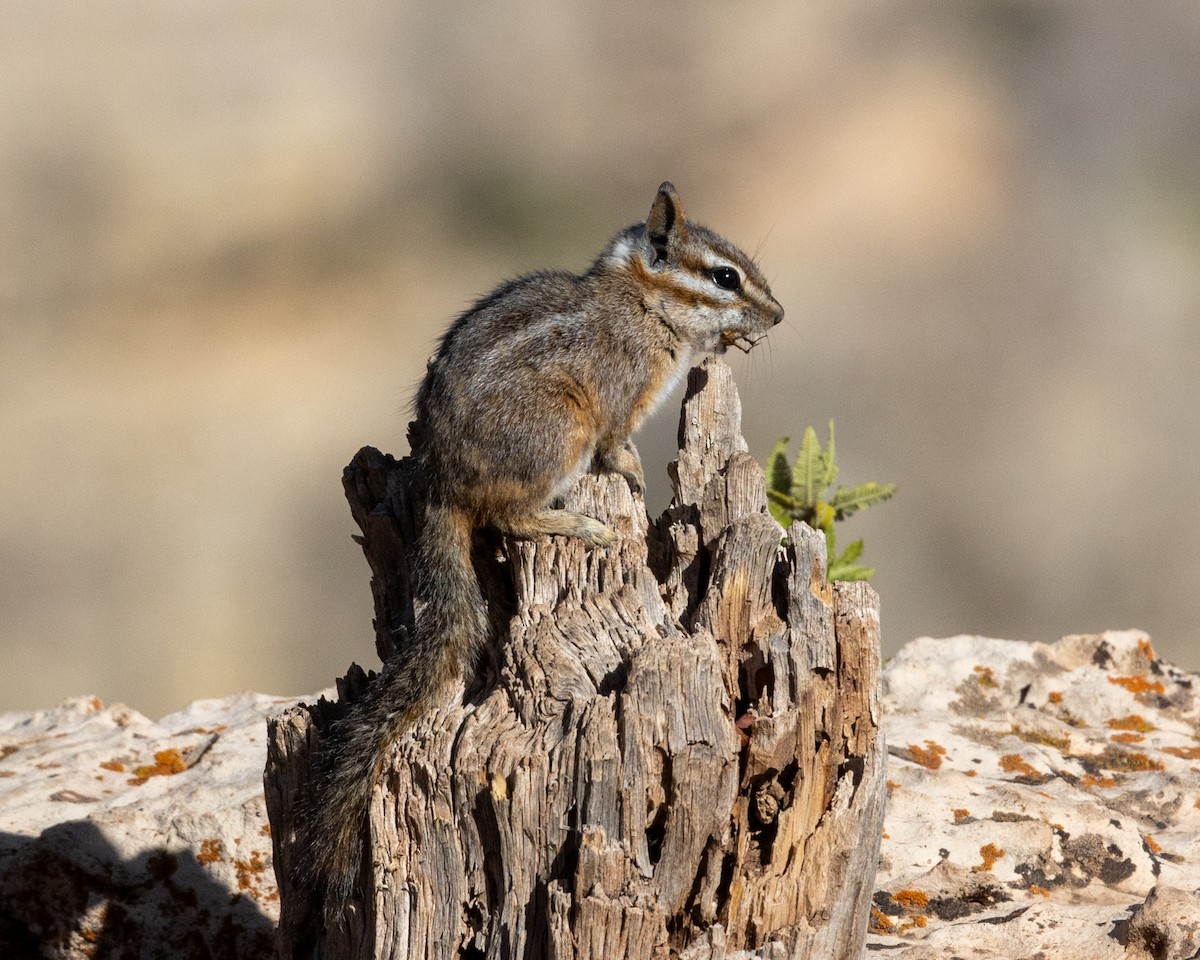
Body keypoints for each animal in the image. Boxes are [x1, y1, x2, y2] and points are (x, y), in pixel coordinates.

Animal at [302, 181, 783, 920]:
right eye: (725, 277)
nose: (778, 314)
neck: (640, 303)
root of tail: (443, 480)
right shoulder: (616, 405)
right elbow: (618, 449)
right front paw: (633, 475)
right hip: (560, 431)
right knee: (512, 519)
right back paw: (581, 526)